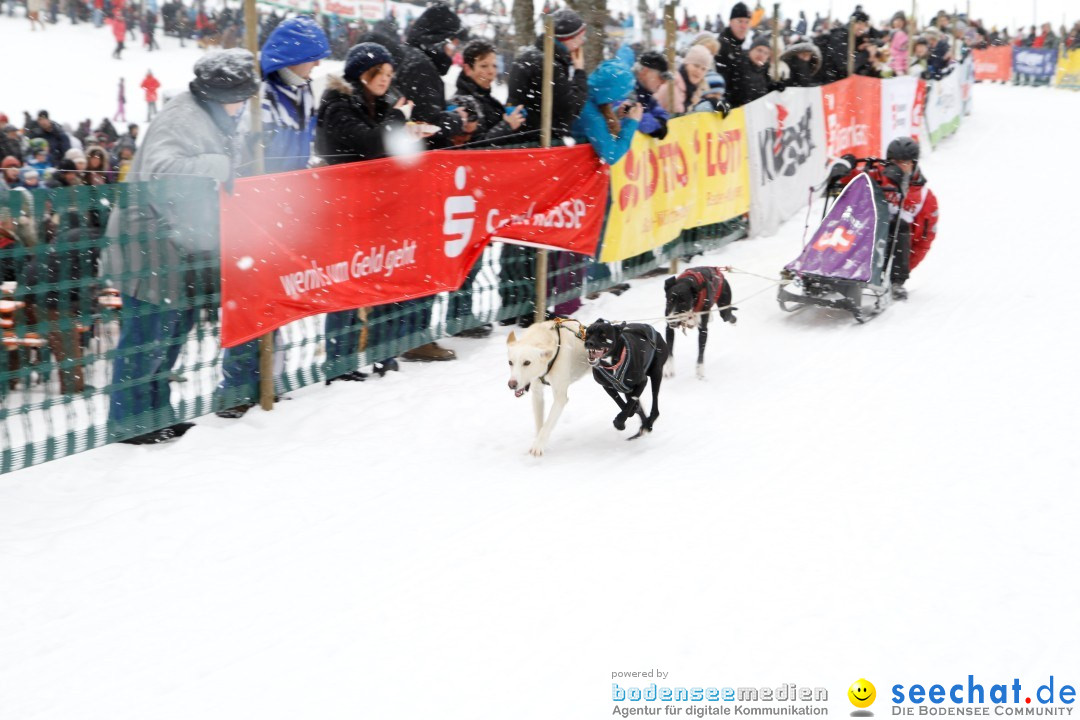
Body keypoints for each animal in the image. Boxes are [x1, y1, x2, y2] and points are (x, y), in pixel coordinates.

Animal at [505, 319, 591, 455]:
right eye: (510, 362)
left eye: (527, 362)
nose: (511, 384)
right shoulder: (537, 394)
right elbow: (540, 424)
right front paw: (538, 440)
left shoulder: (560, 398)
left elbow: (547, 424)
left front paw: (538, 446)